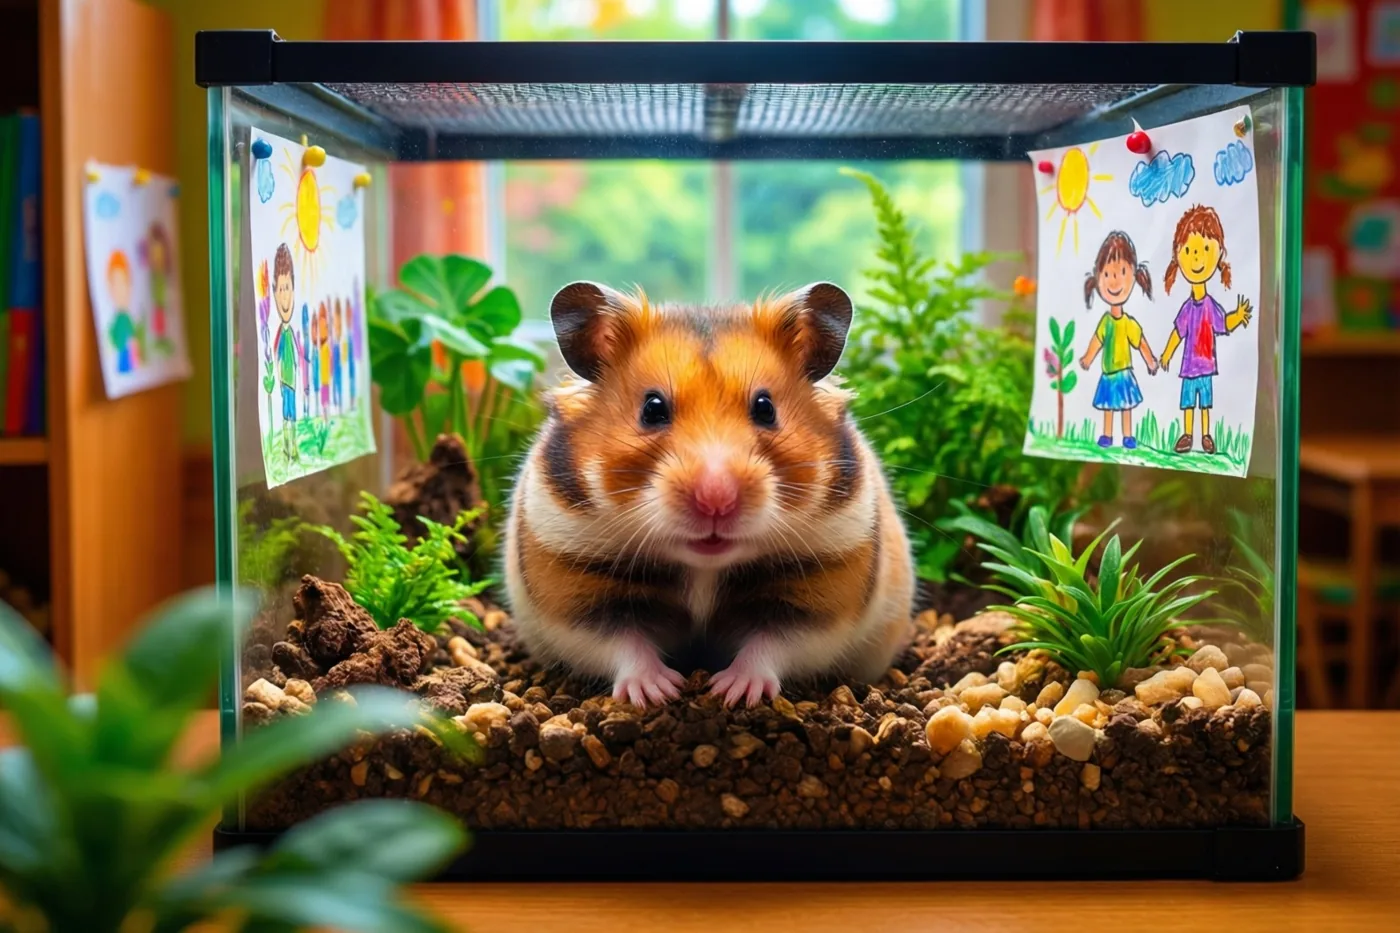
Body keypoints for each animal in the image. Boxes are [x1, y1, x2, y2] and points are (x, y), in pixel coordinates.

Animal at [504, 280, 914, 708]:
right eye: (652, 408)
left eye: (765, 408)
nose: (716, 500)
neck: (705, 566)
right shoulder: (575, 590)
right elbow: (623, 644)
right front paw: (658, 692)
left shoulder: (820, 595)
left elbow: (771, 645)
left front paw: (732, 691)